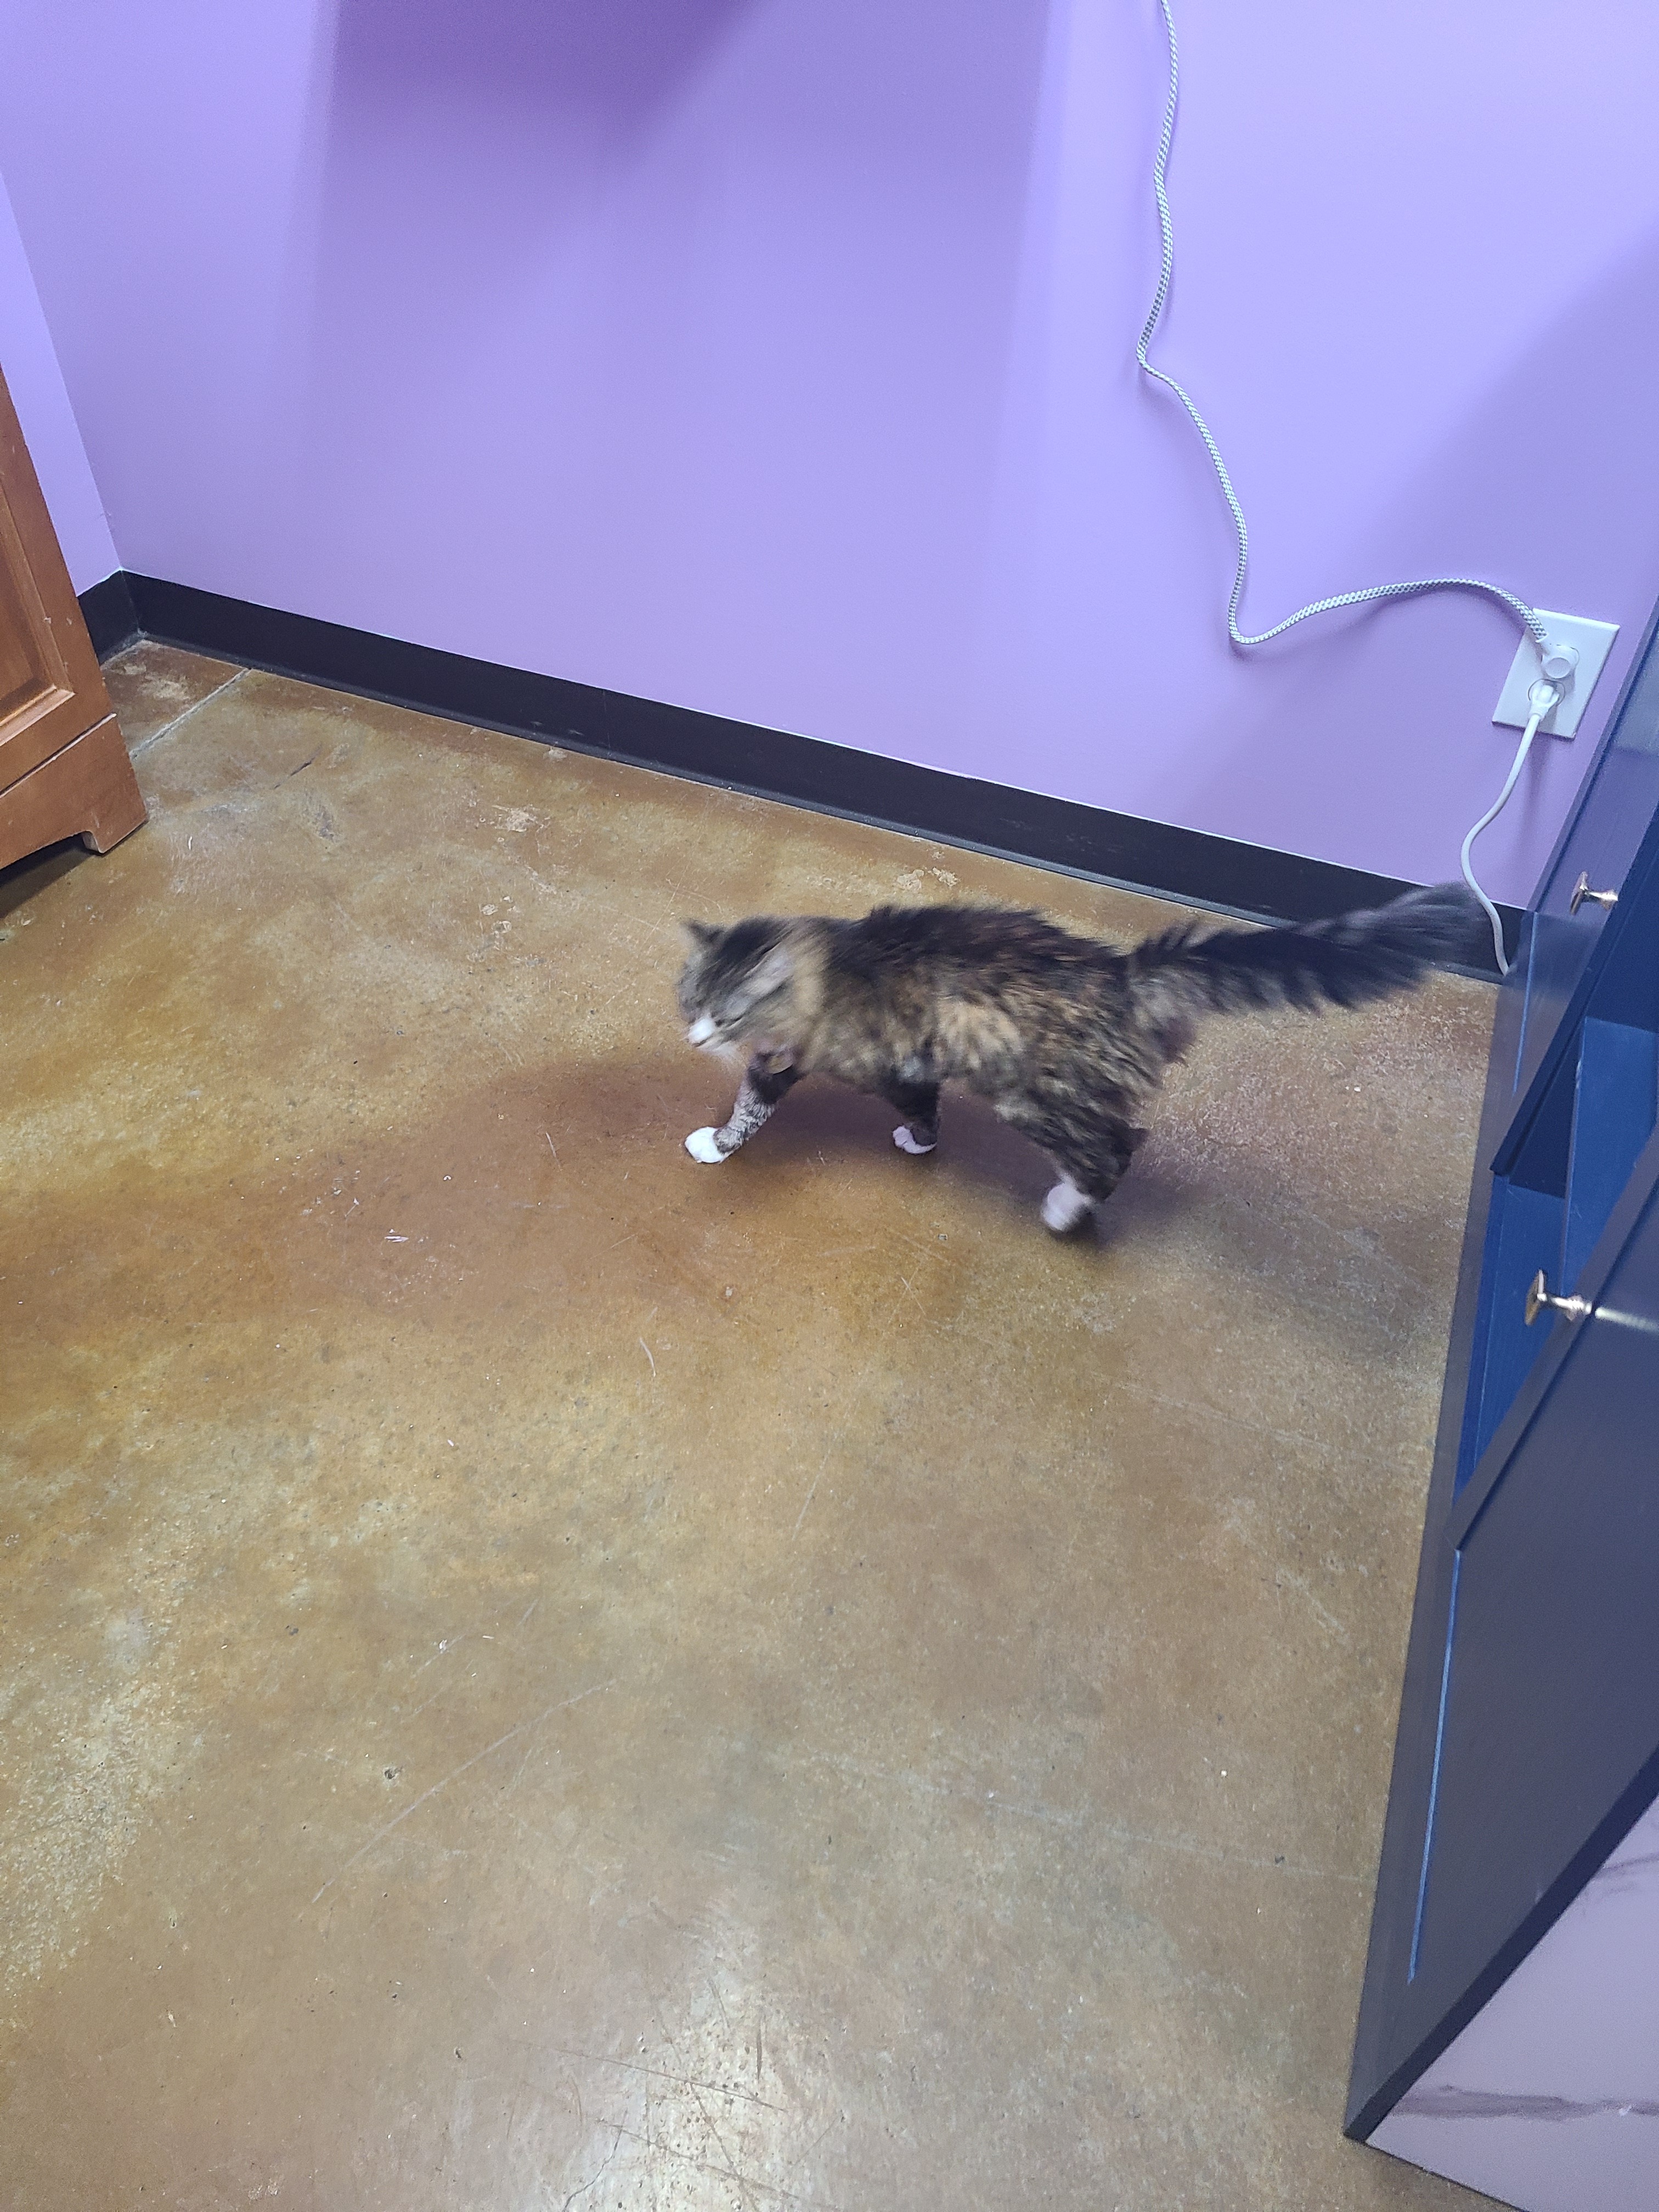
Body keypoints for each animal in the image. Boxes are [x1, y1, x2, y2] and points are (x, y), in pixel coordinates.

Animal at [674, 885, 1480, 1233]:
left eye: (727, 1012)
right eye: (690, 1002)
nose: (694, 1039)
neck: (822, 971)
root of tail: (1125, 976)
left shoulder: (876, 1064)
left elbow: (759, 1108)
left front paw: (714, 1145)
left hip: (1034, 1097)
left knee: (1118, 1150)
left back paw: (1065, 1210)